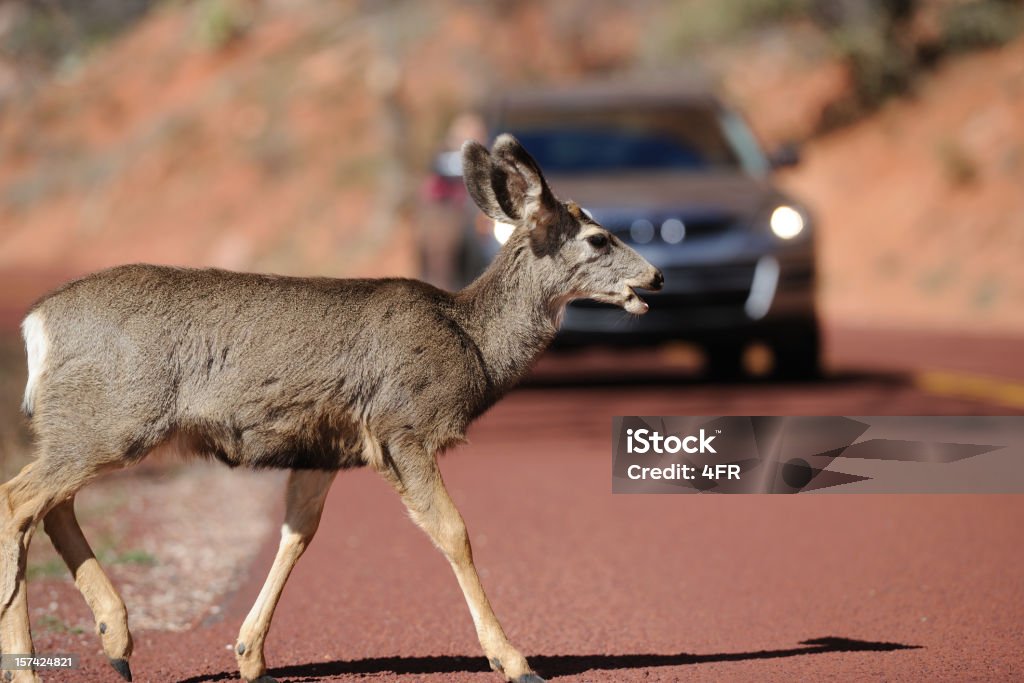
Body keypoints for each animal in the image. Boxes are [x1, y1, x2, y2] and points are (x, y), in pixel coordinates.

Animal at [0, 135, 663, 683]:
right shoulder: (402, 426)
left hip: (88, 426)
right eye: (598, 238)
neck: (471, 341)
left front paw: (250, 657)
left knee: (51, 506)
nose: (655, 278)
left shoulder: (324, 448)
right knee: (18, 499)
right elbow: (454, 532)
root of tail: (36, 324)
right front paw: (515, 660)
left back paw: (116, 638)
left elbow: (297, 534)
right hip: (112, 419)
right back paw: (32, 668)